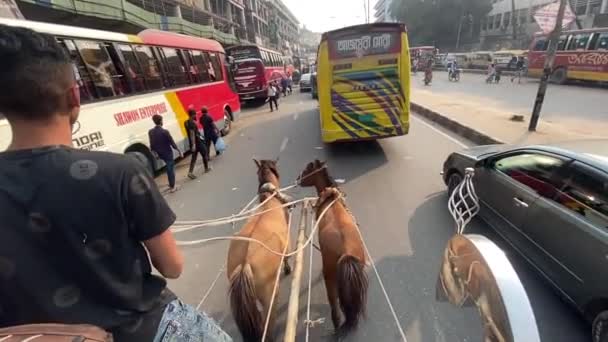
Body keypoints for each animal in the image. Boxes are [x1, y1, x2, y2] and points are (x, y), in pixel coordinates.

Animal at [229, 160, 294, 342]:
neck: (269, 200)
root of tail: (244, 262)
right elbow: (286, 257)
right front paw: (288, 268)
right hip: (269, 294)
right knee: (268, 322)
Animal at [298, 160, 368, 336]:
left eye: (307, 169)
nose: (298, 179)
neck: (331, 200)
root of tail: (346, 253)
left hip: (330, 282)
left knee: (335, 312)